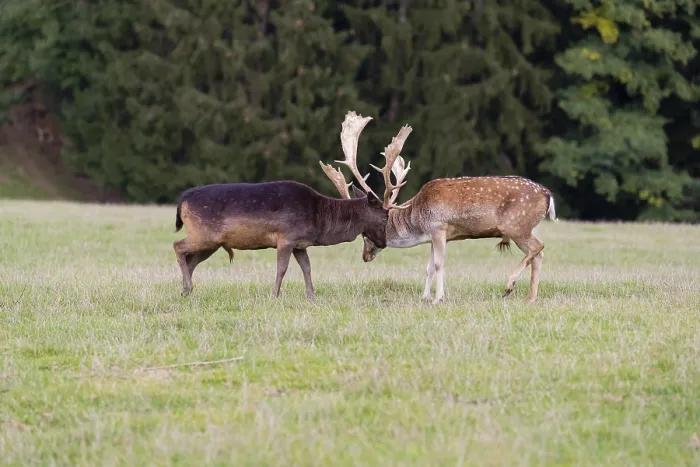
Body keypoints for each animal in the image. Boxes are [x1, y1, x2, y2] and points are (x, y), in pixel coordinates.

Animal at [172, 111, 410, 300]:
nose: (383, 243)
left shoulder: (300, 244)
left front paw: (311, 296)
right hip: (204, 235)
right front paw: (274, 295)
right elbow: (282, 268)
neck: (318, 217)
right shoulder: (285, 237)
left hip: (212, 243)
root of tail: (182, 200)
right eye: (384, 217)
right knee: (178, 246)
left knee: (190, 260)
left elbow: (307, 268)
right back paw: (187, 287)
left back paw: (186, 291)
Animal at [323, 148, 558, 304]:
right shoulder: (431, 236)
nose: (365, 256)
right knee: (538, 255)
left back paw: (509, 286)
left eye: (365, 235)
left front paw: (438, 298)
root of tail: (548, 194)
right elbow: (427, 267)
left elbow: (438, 264)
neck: (417, 219)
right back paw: (530, 298)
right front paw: (424, 296)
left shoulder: (439, 228)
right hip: (525, 227)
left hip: (516, 225)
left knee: (539, 247)